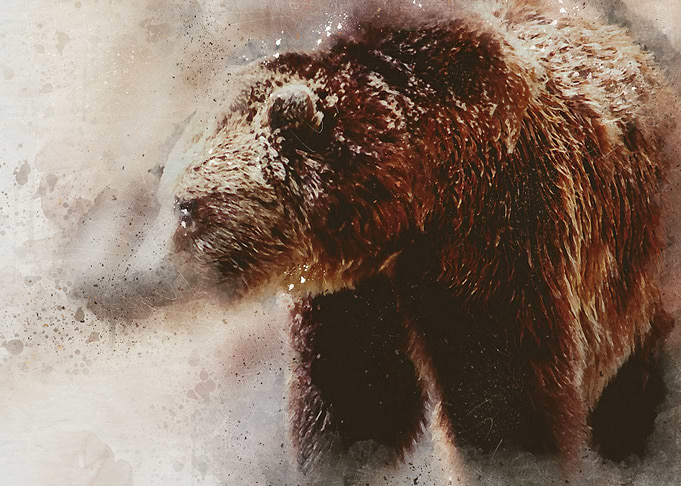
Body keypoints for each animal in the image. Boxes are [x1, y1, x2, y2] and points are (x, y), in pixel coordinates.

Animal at [163, 0, 678, 474]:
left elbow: (503, 397)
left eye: (187, 209)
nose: (166, 273)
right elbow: (351, 393)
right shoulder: (353, 292)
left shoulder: (496, 234)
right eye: (175, 199)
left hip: (640, 268)